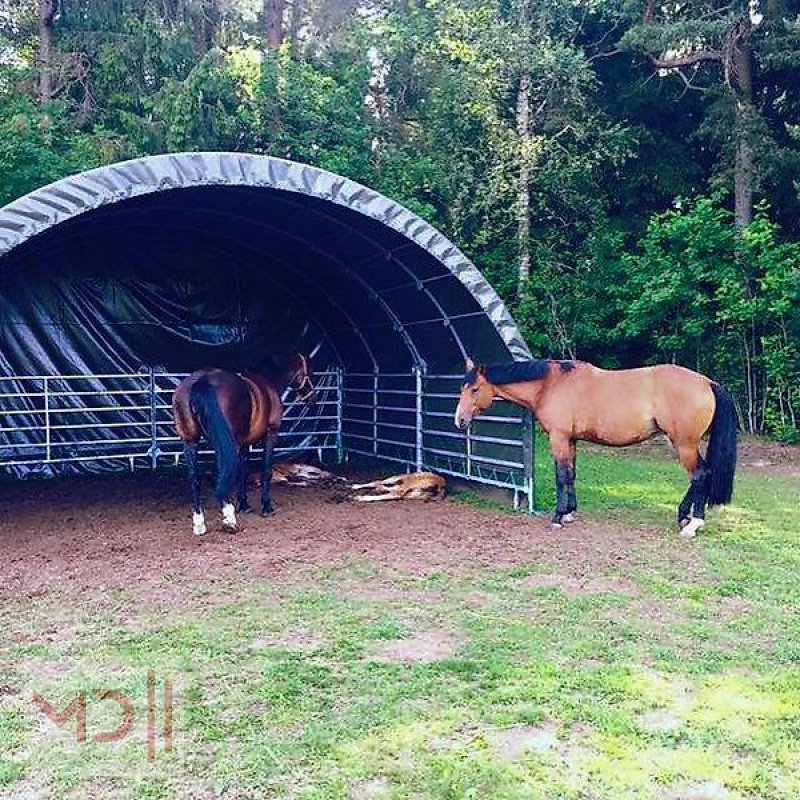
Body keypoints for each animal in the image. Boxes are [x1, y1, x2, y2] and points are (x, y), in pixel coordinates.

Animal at [173, 354, 316, 536]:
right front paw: (266, 507)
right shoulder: (271, 434)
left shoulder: (245, 443)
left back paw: (199, 524)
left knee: (194, 479)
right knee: (218, 474)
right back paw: (229, 520)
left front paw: (244, 504)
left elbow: (243, 471)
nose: (313, 398)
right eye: (310, 371)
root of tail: (203, 380)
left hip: (191, 442)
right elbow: (266, 471)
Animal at [456, 358, 736, 536]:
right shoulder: (571, 440)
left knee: (700, 475)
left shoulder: (558, 438)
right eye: (462, 388)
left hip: (684, 444)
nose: (459, 420)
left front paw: (557, 517)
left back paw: (692, 524)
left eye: (475, 389)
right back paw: (683, 516)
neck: (550, 384)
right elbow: (570, 475)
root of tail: (707, 382)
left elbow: (561, 476)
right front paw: (569, 512)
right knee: (700, 475)